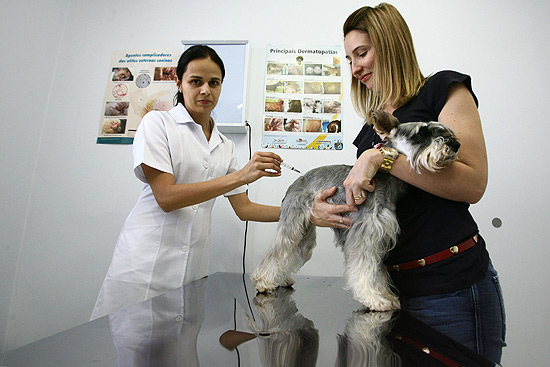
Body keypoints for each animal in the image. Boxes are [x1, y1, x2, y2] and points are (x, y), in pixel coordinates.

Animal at [253, 110, 462, 314]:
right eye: (420, 134)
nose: (455, 145)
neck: (383, 180)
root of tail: (296, 182)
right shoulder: (365, 234)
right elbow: (364, 269)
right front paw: (373, 299)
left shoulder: (379, 238)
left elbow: (377, 272)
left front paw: (386, 295)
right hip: (292, 227)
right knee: (277, 252)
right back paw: (262, 281)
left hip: (304, 237)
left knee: (292, 255)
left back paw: (281, 279)